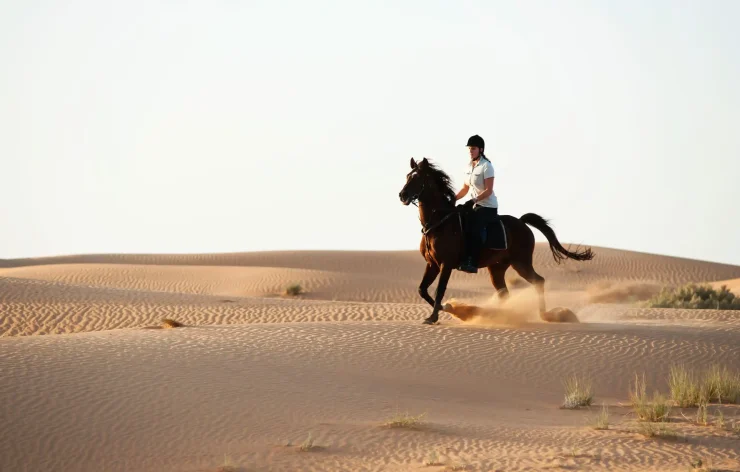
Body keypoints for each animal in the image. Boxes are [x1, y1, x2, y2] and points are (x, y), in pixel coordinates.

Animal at [398, 157, 594, 325]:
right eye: (408, 176)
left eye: (417, 178)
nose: (402, 195)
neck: (439, 222)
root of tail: (522, 222)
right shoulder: (432, 264)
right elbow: (422, 289)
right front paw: (445, 309)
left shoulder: (446, 264)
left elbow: (439, 290)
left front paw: (437, 314)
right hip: (497, 268)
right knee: (504, 293)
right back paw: (503, 315)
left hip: (521, 263)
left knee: (539, 281)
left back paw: (544, 315)